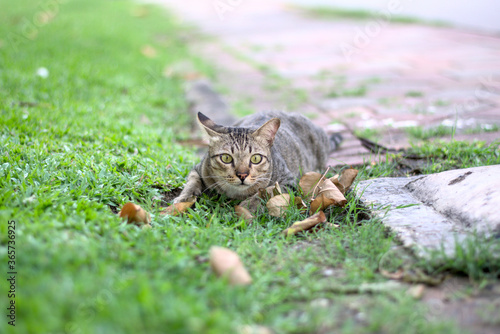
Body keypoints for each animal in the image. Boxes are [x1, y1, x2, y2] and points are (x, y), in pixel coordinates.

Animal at [174, 112, 342, 211]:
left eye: (256, 158)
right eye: (226, 158)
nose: (242, 175)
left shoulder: (290, 182)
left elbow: (267, 192)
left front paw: (248, 207)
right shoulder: (198, 169)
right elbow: (192, 182)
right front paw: (184, 199)